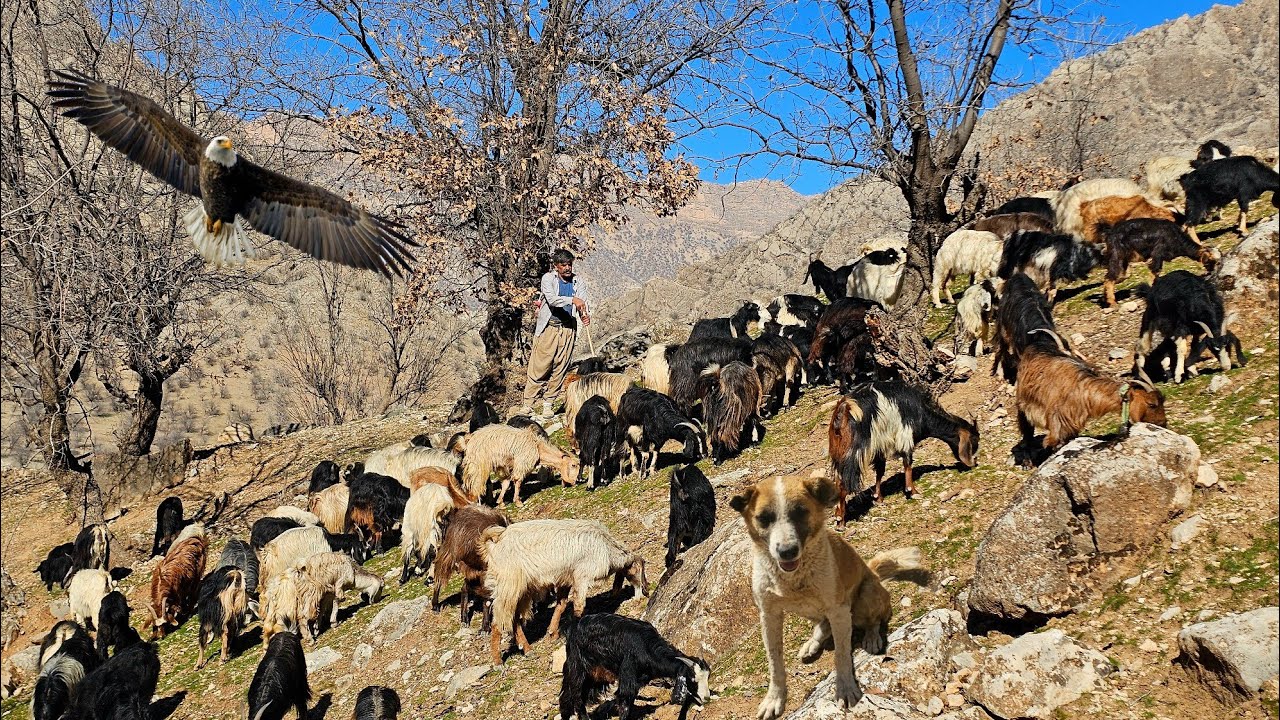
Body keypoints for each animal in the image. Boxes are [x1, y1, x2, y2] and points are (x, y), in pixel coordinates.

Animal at [483, 519, 648, 664]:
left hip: (522, 589)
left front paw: (552, 633)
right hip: (509, 585)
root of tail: (494, 544)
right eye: (639, 569)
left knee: (514, 618)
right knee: (498, 620)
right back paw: (497, 661)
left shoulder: (565, 579)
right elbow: (579, 606)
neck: (607, 548)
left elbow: (561, 606)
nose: (645, 592)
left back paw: (527, 649)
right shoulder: (582, 576)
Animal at [559, 613, 711, 720]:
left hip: (594, 677)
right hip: (578, 668)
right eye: (692, 679)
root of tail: (573, 626)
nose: (706, 698)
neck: (646, 647)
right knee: (576, 694)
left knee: (569, 695)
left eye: (707, 677)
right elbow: (625, 699)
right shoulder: (628, 673)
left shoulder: (639, 680)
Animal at [828, 383, 980, 524]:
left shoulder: (880, 447)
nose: (974, 462)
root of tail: (843, 410)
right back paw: (841, 520)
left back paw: (838, 513)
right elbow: (908, 463)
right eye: (975, 440)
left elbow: (880, 472)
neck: (921, 411)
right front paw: (912, 491)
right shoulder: (905, 436)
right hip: (855, 452)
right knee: (844, 483)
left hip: (839, 453)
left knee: (838, 479)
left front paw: (878, 498)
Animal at [1013, 336, 1167, 467]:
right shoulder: (1055, 419)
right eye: (1151, 404)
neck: (1082, 388)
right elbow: (1052, 442)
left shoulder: (1073, 424)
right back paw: (1027, 462)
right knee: (1027, 434)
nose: (1163, 423)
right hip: (1022, 406)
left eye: (1163, 401)